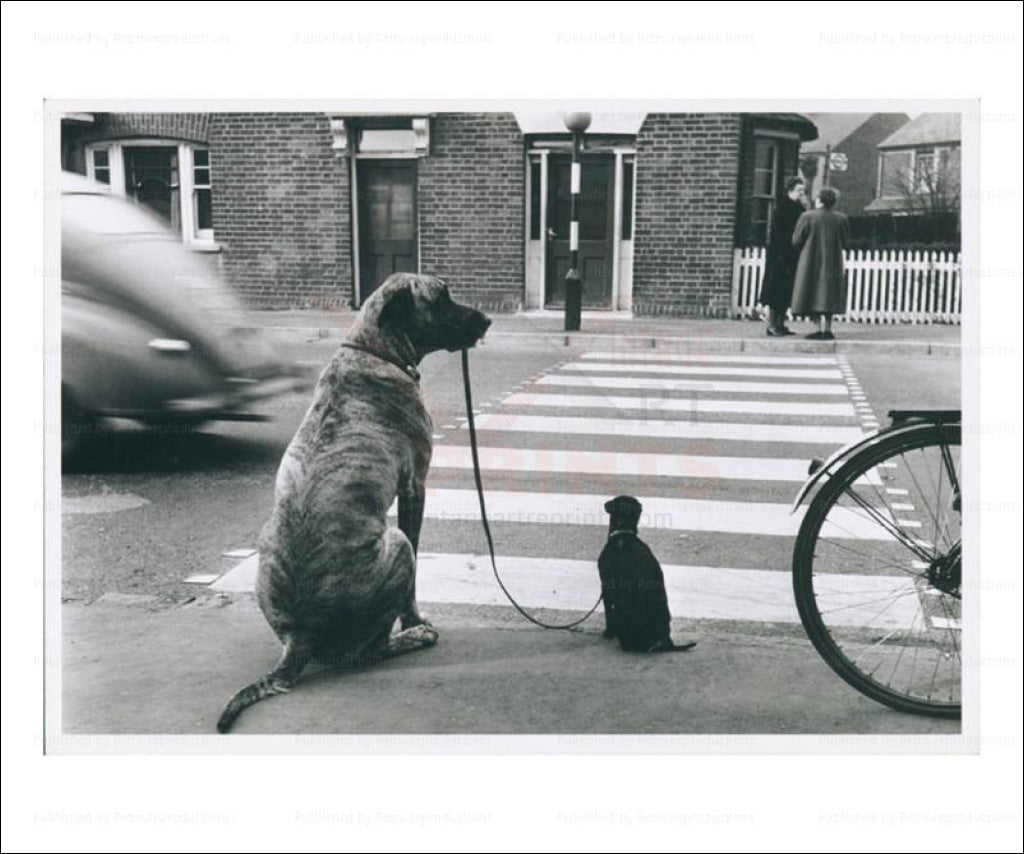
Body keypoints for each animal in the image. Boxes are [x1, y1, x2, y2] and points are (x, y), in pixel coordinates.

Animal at [218, 274, 489, 733]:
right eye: (441, 296)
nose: (486, 320)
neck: (373, 349)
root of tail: (301, 637)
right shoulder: (415, 485)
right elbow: (413, 588)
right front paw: (415, 622)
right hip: (396, 544)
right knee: (370, 650)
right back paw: (412, 637)